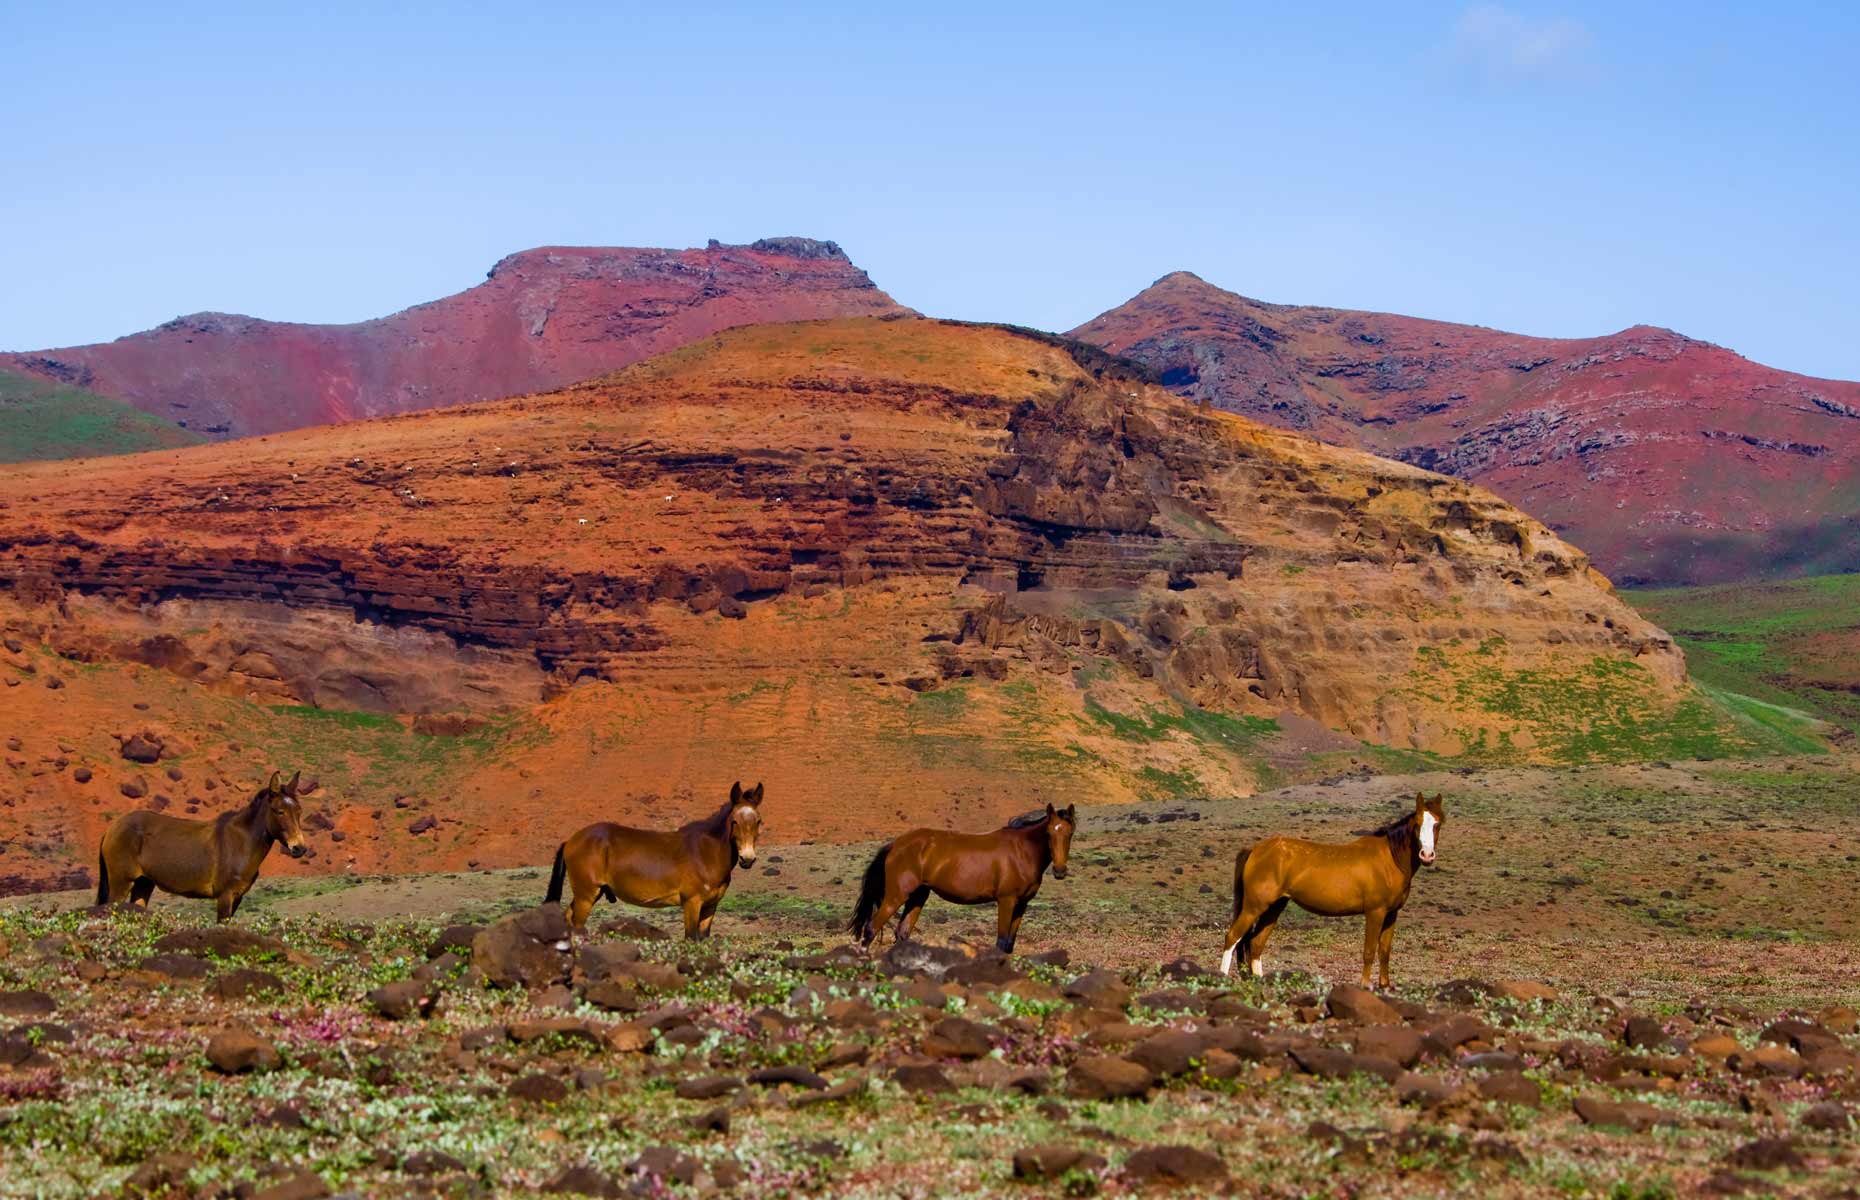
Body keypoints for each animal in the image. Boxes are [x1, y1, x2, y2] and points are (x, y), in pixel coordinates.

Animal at [95, 762, 308, 922]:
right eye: (279, 811)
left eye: (299, 811)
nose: (299, 848)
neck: (241, 842)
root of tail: (112, 828)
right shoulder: (225, 896)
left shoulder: (238, 897)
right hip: (121, 883)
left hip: (144, 883)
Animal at [543, 777, 762, 937]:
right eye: (734, 821)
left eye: (759, 820)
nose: (747, 859)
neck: (706, 854)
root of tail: (571, 840)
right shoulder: (692, 903)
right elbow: (690, 938)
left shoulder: (710, 906)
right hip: (586, 896)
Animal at [848, 803, 1071, 952]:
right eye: (1049, 834)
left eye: (1069, 834)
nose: (1060, 871)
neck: (1022, 851)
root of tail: (895, 844)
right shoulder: (1006, 901)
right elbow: (1000, 943)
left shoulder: (1022, 904)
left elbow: (1009, 944)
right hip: (896, 895)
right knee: (871, 928)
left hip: (918, 896)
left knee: (902, 932)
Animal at [1212, 792, 1443, 989]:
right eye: (1417, 824)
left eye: (1437, 824)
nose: (1427, 855)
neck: (1389, 859)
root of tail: (1254, 850)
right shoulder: (1375, 913)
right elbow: (1369, 950)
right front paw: (1365, 985)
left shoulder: (1392, 914)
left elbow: (1385, 950)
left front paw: (1385, 985)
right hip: (1254, 906)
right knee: (1232, 937)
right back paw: (1222, 978)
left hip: (1274, 907)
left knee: (1256, 943)